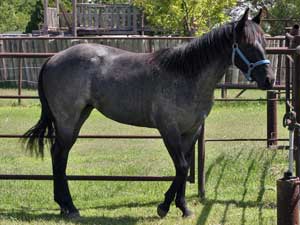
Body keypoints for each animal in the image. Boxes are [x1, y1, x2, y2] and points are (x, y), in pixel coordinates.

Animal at [24, 9, 274, 218]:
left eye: (264, 42)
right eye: (247, 45)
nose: (269, 80)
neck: (187, 75)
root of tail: (53, 58)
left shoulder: (192, 131)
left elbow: (184, 166)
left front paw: (183, 207)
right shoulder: (169, 129)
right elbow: (182, 166)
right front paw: (163, 207)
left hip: (78, 118)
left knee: (60, 155)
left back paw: (64, 206)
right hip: (67, 120)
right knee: (59, 155)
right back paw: (70, 207)